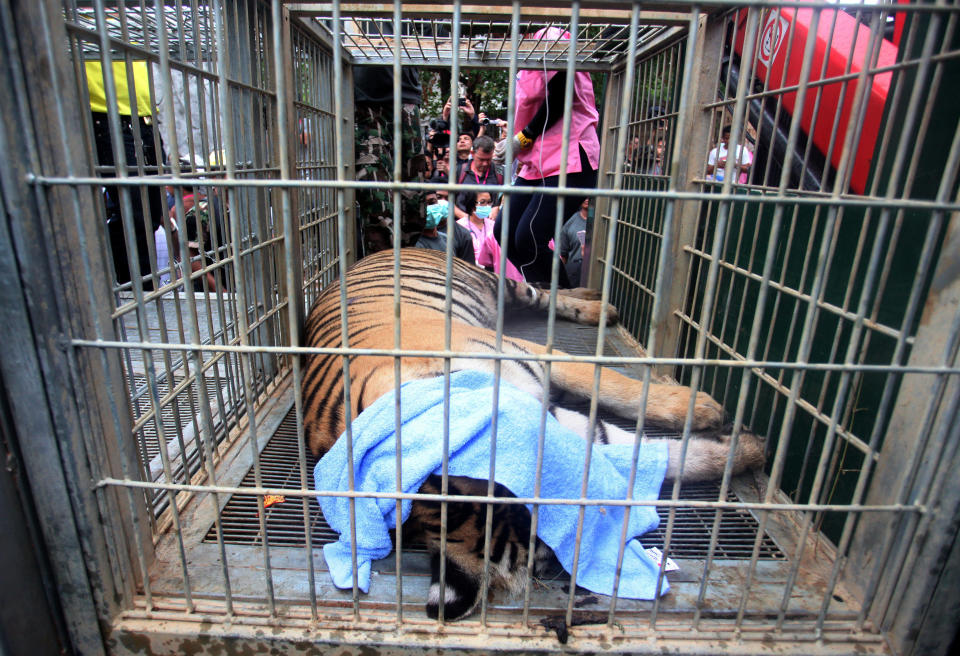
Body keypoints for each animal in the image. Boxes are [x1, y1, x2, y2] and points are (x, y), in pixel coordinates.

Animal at [300, 246, 764, 620]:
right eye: (546, 555)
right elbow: (651, 452)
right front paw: (744, 448)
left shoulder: (540, 360)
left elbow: (615, 386)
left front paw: (703, 411)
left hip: (497, 284)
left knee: (542, 291)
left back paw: (598, 306)